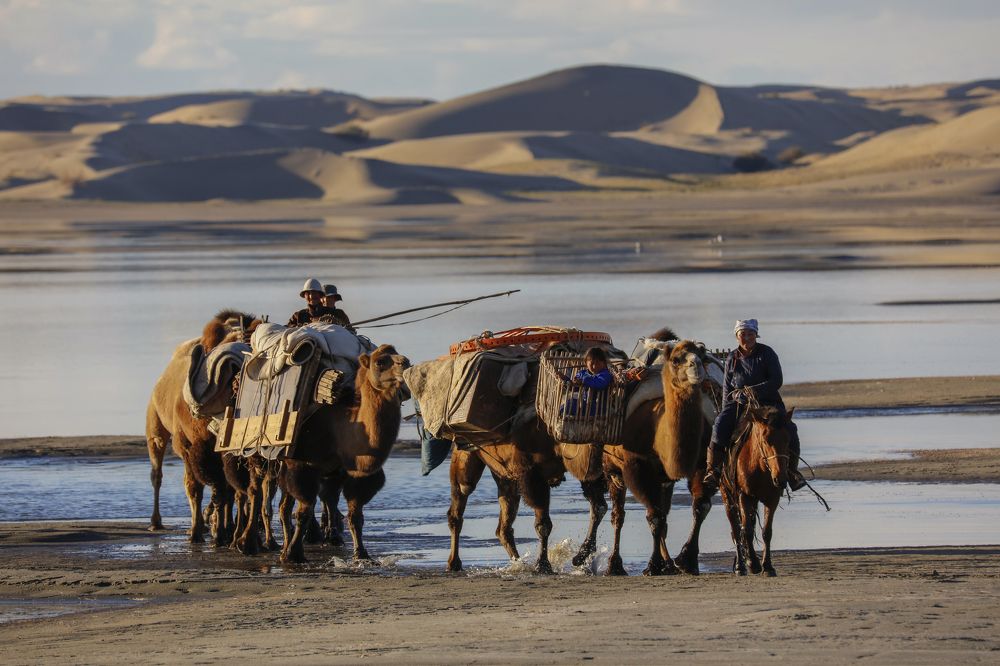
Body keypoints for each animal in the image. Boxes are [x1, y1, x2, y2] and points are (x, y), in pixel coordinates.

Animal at [146, 309, 258, 545]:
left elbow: (226, 489)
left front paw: (222, 530)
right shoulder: (188, 445)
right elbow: (194, 487)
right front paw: (197, 531)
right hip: (155, 426)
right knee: (156, 472)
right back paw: (155, 522)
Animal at [270, 344, 410, 564]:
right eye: (380, 362)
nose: (405, 363)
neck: (340, 428)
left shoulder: (352, 473)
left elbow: (355, 514)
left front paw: (361, 553)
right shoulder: (302, 465)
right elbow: (304, 511)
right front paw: (294, 554)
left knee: (309, 502)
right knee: (281, 505)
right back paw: (280, 546)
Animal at [602, 338, 715, 575]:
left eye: (702, 355)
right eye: (676, 360)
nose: (696, 366)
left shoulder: (702, 462)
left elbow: (700, 507)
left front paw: (686, 560)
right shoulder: (636, 466)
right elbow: (654, 516)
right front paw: (653, 565)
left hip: (664, 480)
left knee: (665, 515)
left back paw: (669, 563)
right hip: (612, 468)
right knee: (619, 515)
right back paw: (614, 565)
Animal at [721, 405, 794, 576]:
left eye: (788, 440)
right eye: (766, 440)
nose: (781, 479)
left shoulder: (772, 498)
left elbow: (766, 531)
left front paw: (767, 566)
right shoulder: (744, 495)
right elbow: (746, 530)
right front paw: (753, 564)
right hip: (727, 495)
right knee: (736, 529)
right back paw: (740, 566)